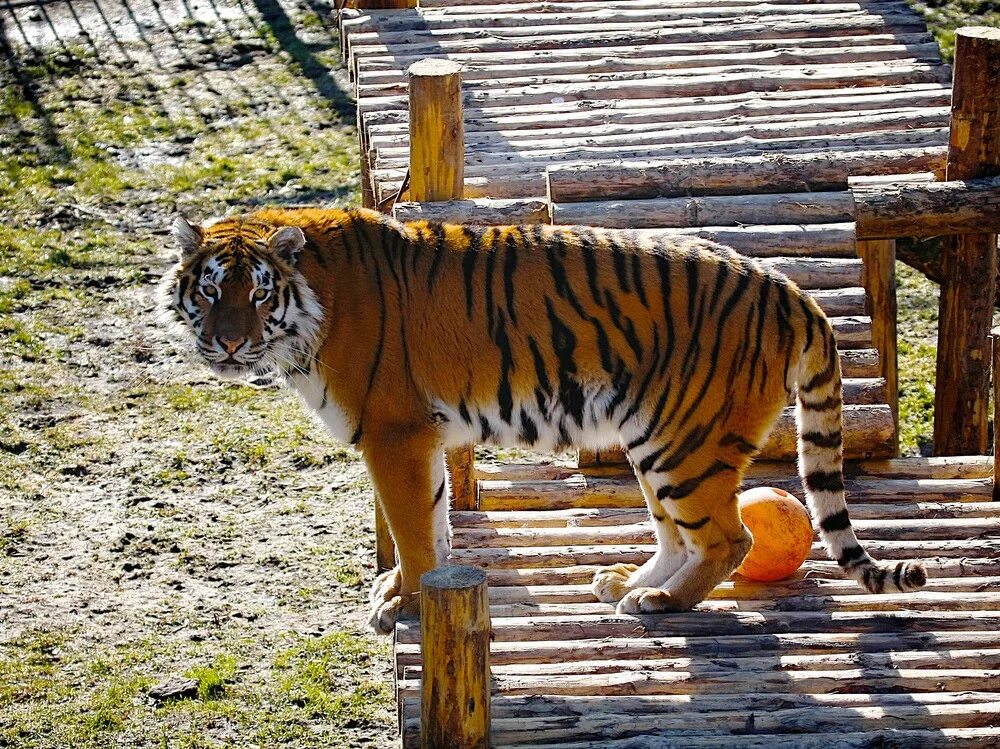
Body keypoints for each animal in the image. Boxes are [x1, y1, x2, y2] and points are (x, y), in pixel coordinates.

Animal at [160, 205, 924, 632]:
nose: (230, 343)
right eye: (212, 290)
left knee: (730, 538)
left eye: (259, 294)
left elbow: (412, 529)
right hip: (657, 438)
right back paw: (629, 584)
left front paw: (405, 604)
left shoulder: (393, 431)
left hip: (686, 443)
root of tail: (790, 289)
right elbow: (434, 521)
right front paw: (413, 588)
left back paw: (662, 603)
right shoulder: (420, 436)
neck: (310, 305)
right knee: (679, 533)